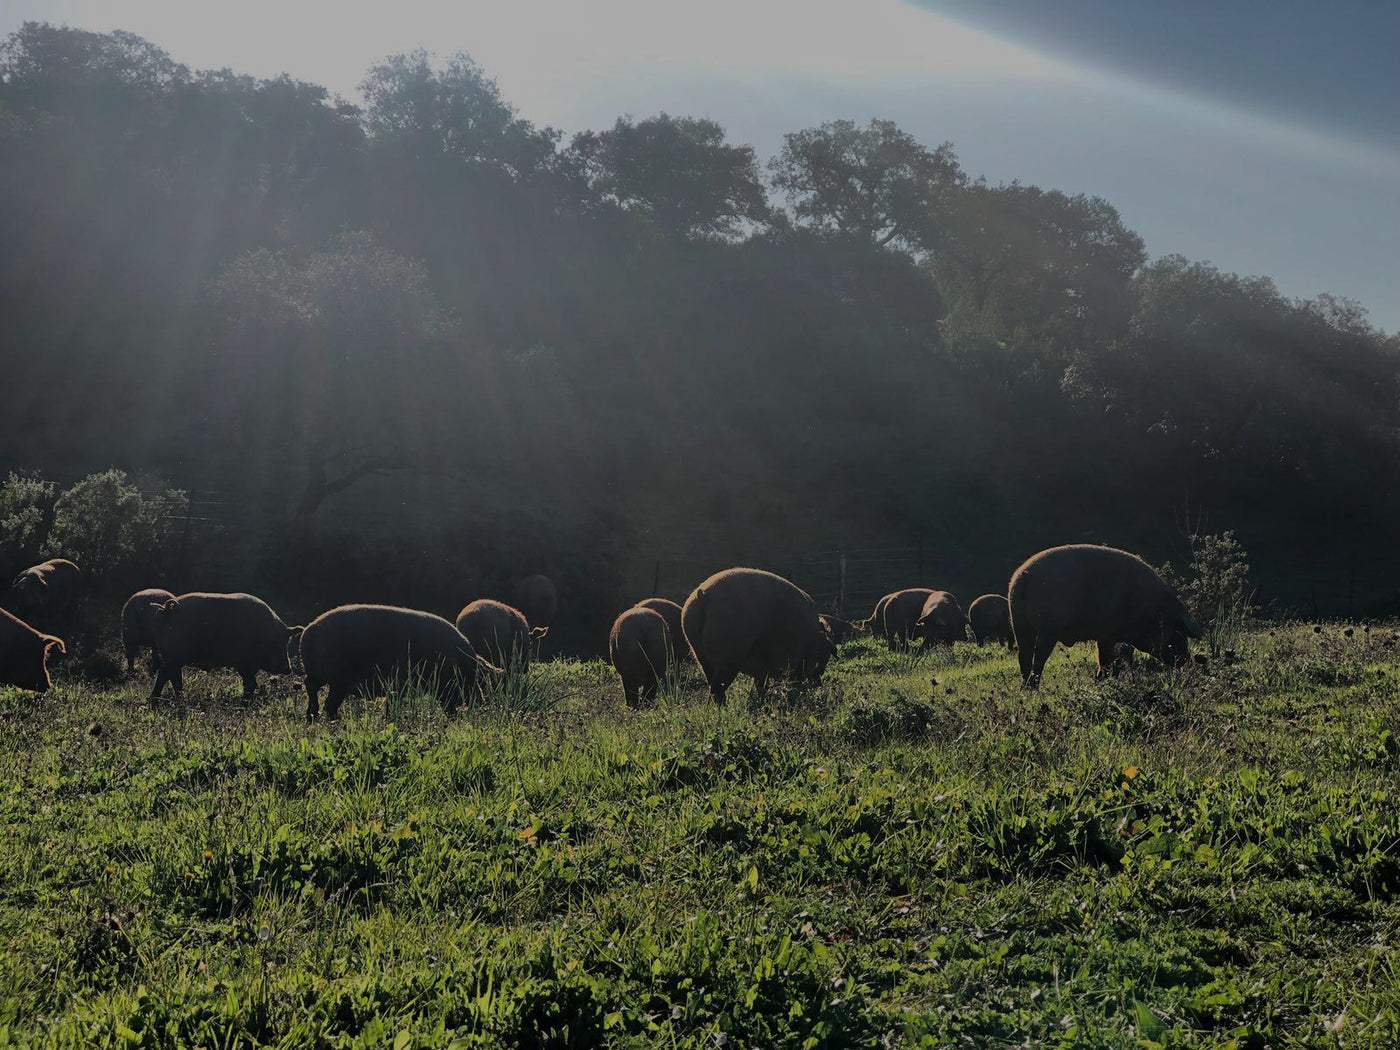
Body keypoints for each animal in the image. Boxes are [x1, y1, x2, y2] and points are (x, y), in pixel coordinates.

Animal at [151, 596, 302, 702]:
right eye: (278, 643)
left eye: (287, 642)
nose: (288, 669)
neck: (263, 634)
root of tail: (170, 609)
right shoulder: (246, 663)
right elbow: (250, 684)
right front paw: (245, 702)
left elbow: (250, 684)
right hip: (175, 655)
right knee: (165, 674)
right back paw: (157, 700)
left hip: (174, 657)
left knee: (173, 676)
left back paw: (178, 698)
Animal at [298, 607, 495, 722]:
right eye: (475, 675)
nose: (481, 700)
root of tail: (307, 633)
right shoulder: (400, 683)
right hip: (338, 680)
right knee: (328, 703)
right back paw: (335, 721)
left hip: (321, 676)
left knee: (310, 686)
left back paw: (312, 715)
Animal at [677, 568, 828, 708]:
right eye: (821, 658)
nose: (817, 683)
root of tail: (704, 595)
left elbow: (761, 685)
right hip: (729, 654)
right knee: (717, 688)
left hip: (699, 652)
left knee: (711, 682)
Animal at [1008, 543, 1204, 691]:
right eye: (1177, 632)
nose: (1186, 659)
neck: (1151, 611)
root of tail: (1025, 577)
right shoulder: (1110, 634)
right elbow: (1108, 659)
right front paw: (1105, 680)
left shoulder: (1106, 636)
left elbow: (1107, 658)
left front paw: (1102, 680)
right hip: (1049, 626)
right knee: (1039, 654)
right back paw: (1034, 687)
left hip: (1019, 623)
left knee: (1023, 655)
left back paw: (1025, 688)